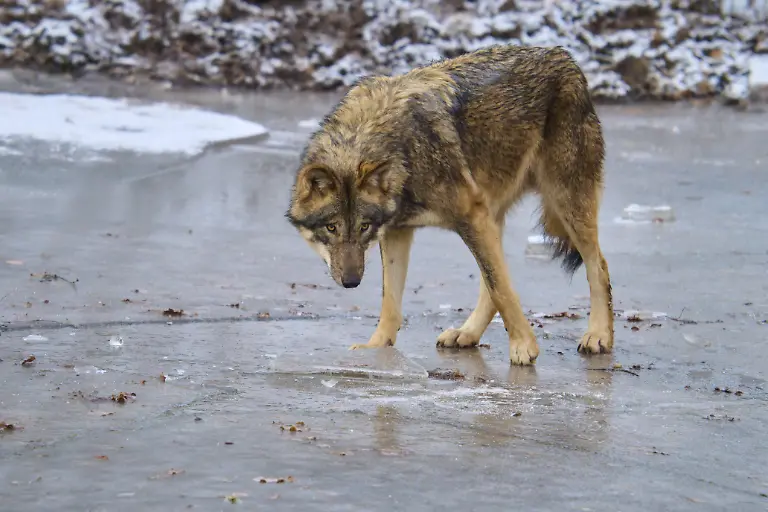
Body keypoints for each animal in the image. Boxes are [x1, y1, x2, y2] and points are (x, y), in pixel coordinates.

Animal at [285, 44, 614, 365]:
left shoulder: (470, 214)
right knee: (491, 281)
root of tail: (566, 57)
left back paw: (598, 336)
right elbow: (390, 302)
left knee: (597, 266)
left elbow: (502, 289)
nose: (351, 282)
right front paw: (376, 349)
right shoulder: (398, 231)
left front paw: (524, 347)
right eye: (332, 228)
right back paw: (467, 334)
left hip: (565, 201)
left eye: (364, 226)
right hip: (494, 212)